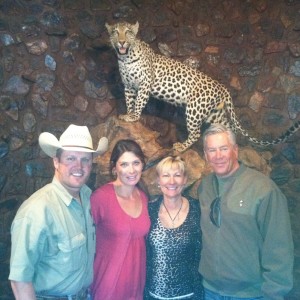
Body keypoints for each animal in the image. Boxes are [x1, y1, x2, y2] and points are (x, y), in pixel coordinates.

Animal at [106, 21, 300, 152]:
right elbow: (129, 101)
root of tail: (223, 87)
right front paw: (127, 114)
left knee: (196, 133)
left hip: (194, 109)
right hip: (214, 113)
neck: (125, 58)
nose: (122, 42)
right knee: (228, 129)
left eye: (128, 32)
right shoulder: (128, 86)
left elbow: (138, 102)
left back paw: (181, 146)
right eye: (115, 32)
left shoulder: (144, 85)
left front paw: (133, 117)